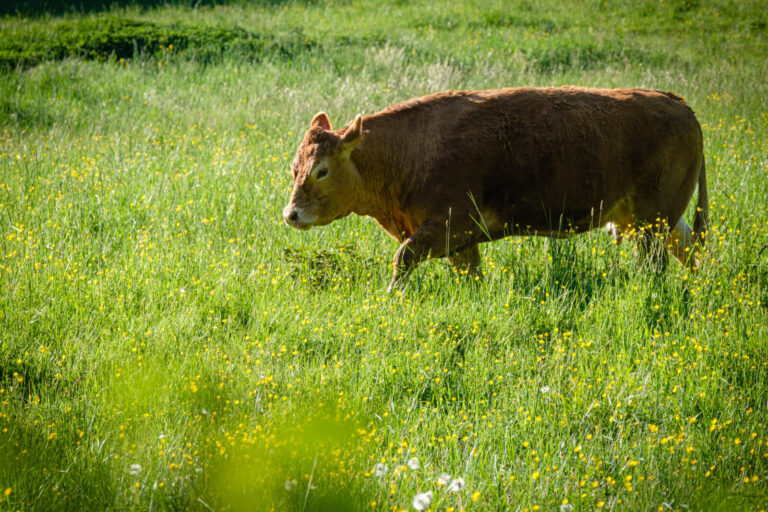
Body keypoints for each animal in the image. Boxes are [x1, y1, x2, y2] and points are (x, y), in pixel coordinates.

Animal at [283, 86, 708, 292]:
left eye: (321, 170)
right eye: (294, 168)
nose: (291, 214)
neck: (409, 149)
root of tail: (679, 105)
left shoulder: (447, 227)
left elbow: (403, 257)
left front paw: (391, 298)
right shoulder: (462, 244)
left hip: (651, 223)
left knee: (656, 262)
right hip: (654, 220)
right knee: (688, 248)